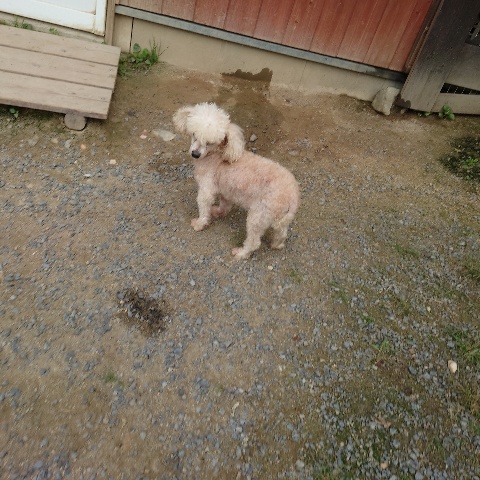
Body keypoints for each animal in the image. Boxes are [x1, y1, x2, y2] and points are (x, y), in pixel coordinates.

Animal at [173, 102, 300, 260]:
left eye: (210, 143)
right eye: (194, 134)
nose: (195, 154)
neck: (217, 155)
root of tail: (293, 195)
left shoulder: (206, 189)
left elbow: (204, 208)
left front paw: (200, 223)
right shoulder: (226, 191)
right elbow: (224, 206)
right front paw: (218, 212)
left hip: (258, 216)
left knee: (254, 242)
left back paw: (241, 253)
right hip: (279, 217)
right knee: (281, 233)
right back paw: (276, 245)